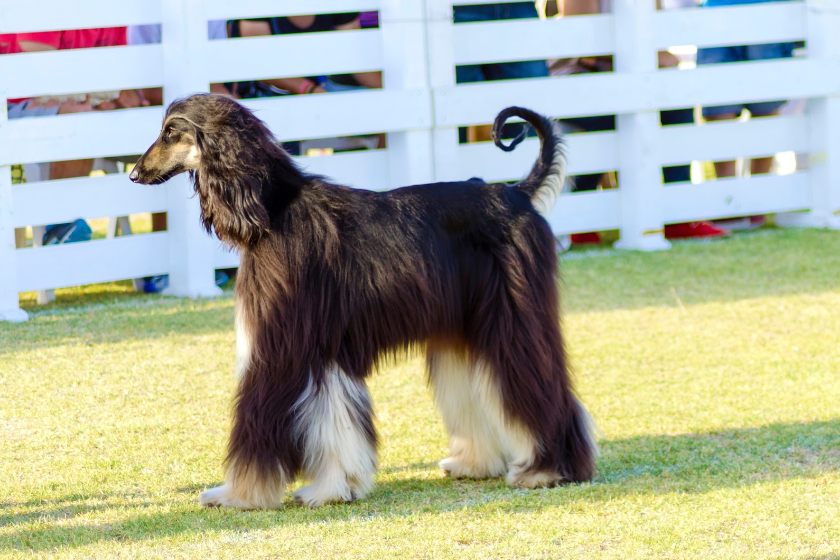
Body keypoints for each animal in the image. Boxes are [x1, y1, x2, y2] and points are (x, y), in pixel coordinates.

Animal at [131, 93, 596, 508]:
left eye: (171, 132)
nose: (134, 174)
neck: (272, 211)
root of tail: (517, 193)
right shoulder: (325, 348)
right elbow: (337, 420)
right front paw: (337, 487)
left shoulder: (280, 343)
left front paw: (239, 494)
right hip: (462, 326)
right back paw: (476, 463)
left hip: (513, 318)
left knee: (538, 382)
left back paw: (547, 469)